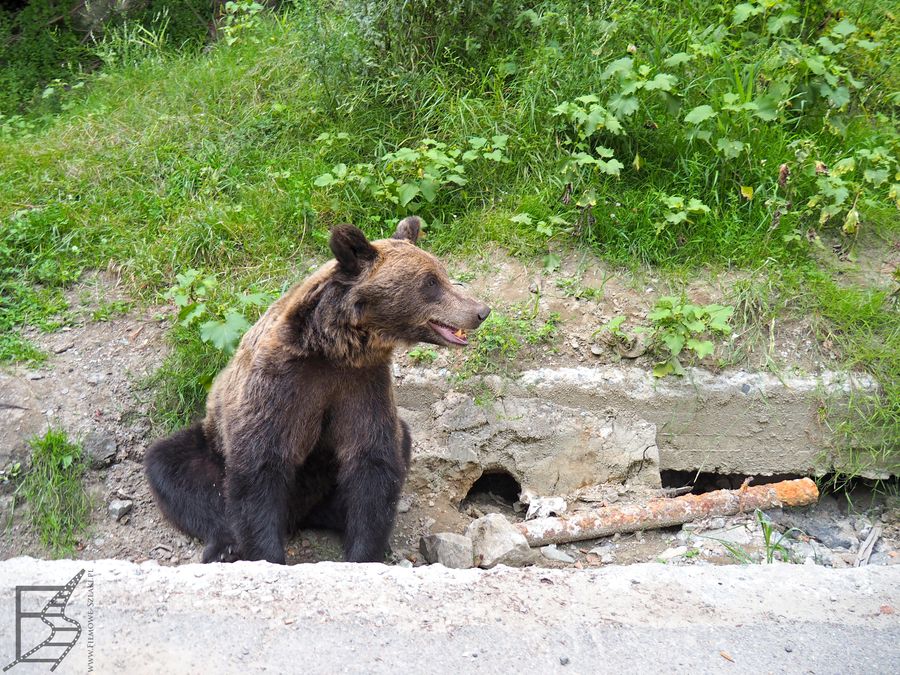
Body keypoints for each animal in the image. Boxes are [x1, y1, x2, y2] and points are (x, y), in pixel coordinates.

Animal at [146, 218, 492, 564]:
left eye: (441, 273)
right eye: (430, 282)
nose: (481, 311)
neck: (334, 347)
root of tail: (300, 515)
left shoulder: (362, 383)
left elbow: (373, 460)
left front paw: (364, 551)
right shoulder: (283, 384)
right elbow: (260, 464)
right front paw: (266, 553)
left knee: (400, 439)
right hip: (212, 445)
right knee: (174, 468)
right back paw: (224, 546)